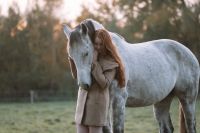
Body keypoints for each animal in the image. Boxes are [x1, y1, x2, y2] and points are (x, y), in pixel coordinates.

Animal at [62, 19, 198, 133]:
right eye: (70, 56)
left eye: (86, 53)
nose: (84, 85)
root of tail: (189, 52)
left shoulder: (119, 100)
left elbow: (118, 129)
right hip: (162, 100)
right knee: (167, 128)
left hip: (188, 99)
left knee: (191, 125)